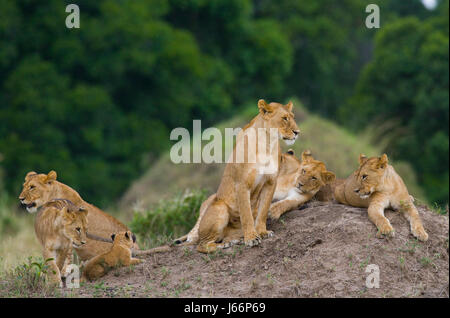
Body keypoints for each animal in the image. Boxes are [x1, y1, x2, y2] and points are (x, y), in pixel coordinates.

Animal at [192, 99, 298, 253]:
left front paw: (262, 232)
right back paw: (224, 245)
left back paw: (234, 240)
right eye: (285, 118)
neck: (267, 144)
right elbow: (246, 214)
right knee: (201, 245)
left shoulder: (270, 182)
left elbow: (263, 211)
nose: (297, 132)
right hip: (220, 208)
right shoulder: (242, 184)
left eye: (293, 117)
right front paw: (252, 238)